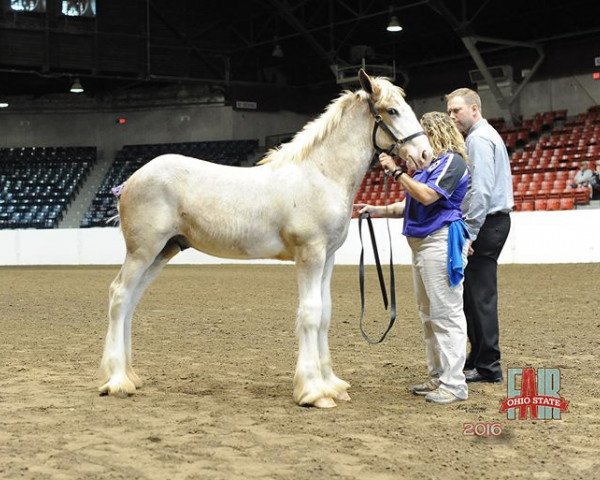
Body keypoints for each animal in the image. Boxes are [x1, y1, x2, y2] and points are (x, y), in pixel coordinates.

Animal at [99, 70, 432, 408]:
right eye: (392, 110)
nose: (425, 154)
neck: (321, 175)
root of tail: (130, 180)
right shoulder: (309, 254)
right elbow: (310, 314)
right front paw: (313, 391)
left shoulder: (328, 257)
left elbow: (325, 313)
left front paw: (332, 385)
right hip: (143, 251)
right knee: (119, 295)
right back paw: (116, 381)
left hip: (164, 251)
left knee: (131, 301)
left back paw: (130, 376)